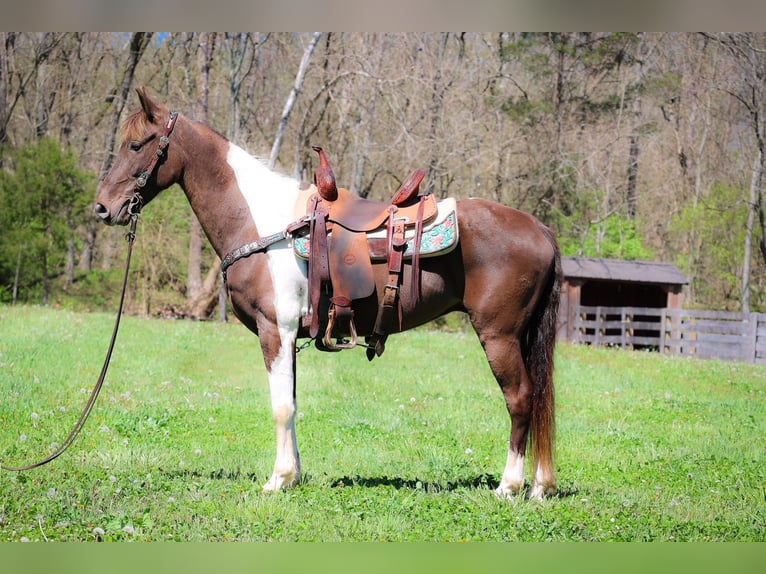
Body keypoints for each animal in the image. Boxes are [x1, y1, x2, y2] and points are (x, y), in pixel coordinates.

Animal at [94, 88, 564, 502]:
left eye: (136, 144)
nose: (101, 208)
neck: (264, 224)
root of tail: (540, 229)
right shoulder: (288, 338)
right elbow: (292, 402)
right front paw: (294, 475)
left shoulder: (276, 330)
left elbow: (281, 406)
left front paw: (277, 480)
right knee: (539, 399)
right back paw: (540, 487)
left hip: (499, 336)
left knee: (521, 399)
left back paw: (509, 486)